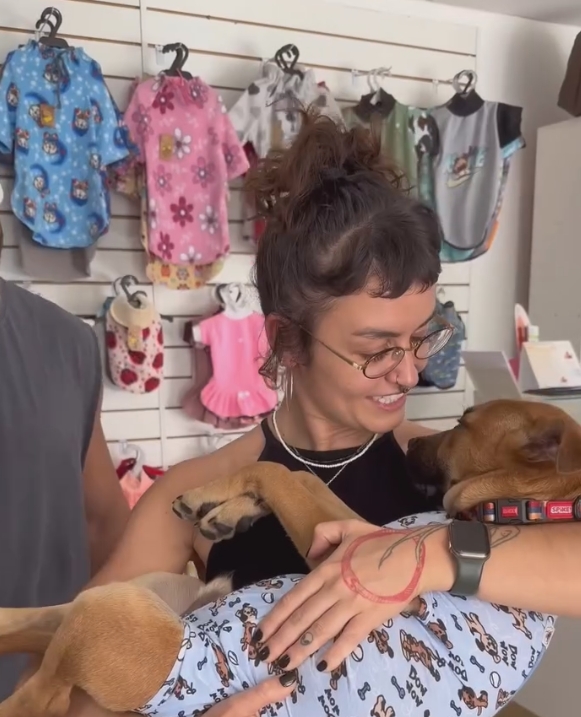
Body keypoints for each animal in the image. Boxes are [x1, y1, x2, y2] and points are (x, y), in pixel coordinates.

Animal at [0, 398, 576, 717]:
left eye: (460, 423)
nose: (409, 444)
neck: (522, 505)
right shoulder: (349, 530)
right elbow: (291, 474)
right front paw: (228, 508)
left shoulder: (343, 550)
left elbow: (282, 471)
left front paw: (222, 502)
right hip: (117, 598)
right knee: (31, 628)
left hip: (106, 612)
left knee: (41, 698)